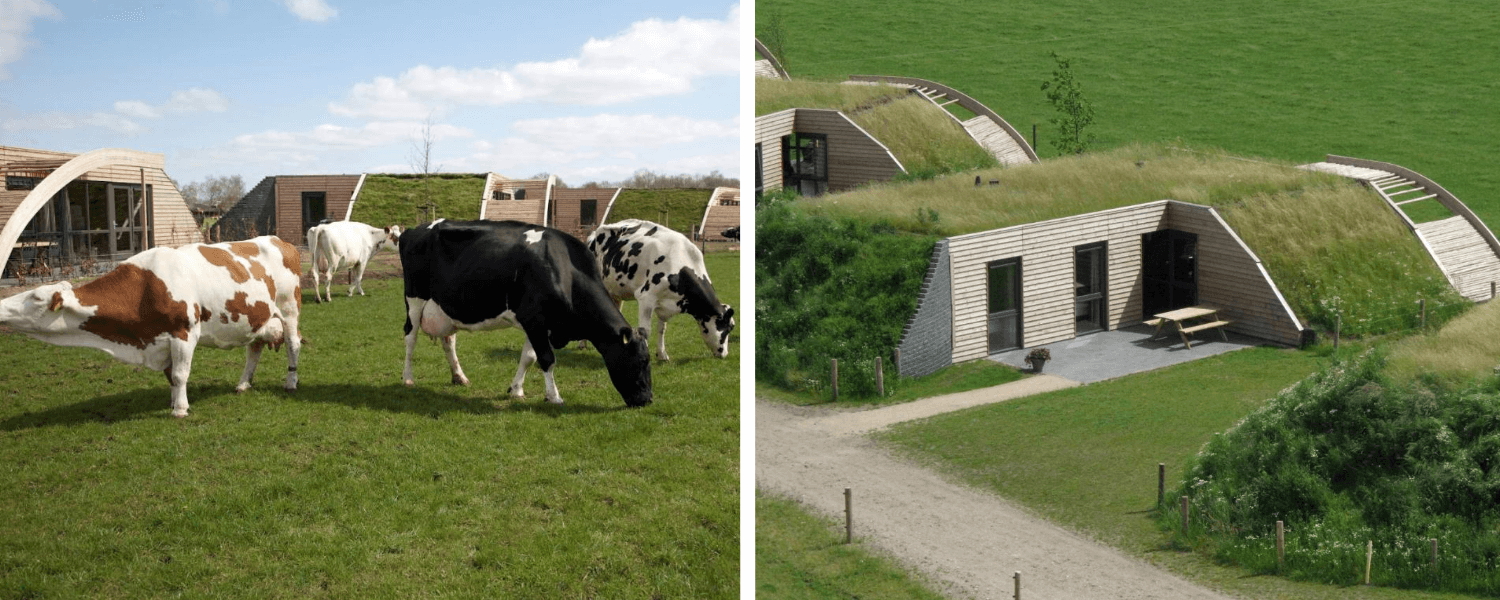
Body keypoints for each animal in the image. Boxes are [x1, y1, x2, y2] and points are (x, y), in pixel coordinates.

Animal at [0, 236, 303, 418]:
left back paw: (291, 382)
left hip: (289, 309)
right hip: (260, 318)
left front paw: (179, 409)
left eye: (35, 298)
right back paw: (242, 384)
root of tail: (278, 239)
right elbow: (170, 376)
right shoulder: (160, 339)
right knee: (254, 349)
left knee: (293, 344)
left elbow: (180, 374)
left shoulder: (183, 332)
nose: (1, 307)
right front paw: (173, 401)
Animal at [398, 219, 652, 407]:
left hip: (446, 308)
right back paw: (408, 378)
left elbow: (529, 357)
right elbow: (547, 359)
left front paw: (516, 390)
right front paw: (554, 396)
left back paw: (459, 377)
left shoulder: (539, 323)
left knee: (448, 341)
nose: (648, 400)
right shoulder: (534, 319)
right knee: (410, 337)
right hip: (414, 299)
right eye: (641, 360)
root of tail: (413, 230)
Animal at [585, 219, 734, 361]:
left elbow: (662, 329)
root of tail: (594, 232)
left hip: (615, 290)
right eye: (728, 328)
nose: (725, 354)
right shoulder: (645, 298)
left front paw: (662, 354)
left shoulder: (664, 304)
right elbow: (645, 330)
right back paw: (583, 344)